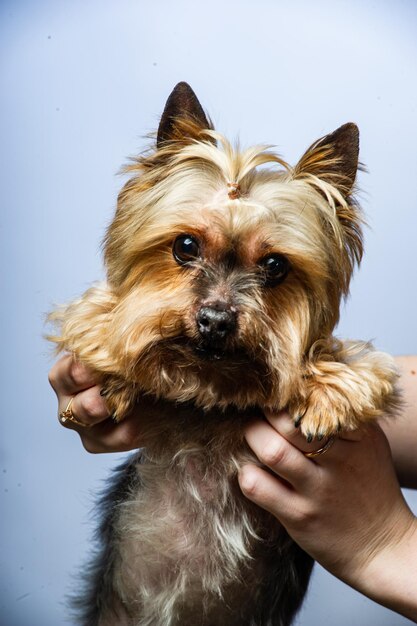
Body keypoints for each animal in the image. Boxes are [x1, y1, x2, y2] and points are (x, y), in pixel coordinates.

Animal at [50, 84, 398, 624]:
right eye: (185, 245)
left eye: (274, 265)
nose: (214, 320)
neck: (210, 401)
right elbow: (95, 318)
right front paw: (113, 352)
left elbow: (358, 366)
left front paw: (326, 393)